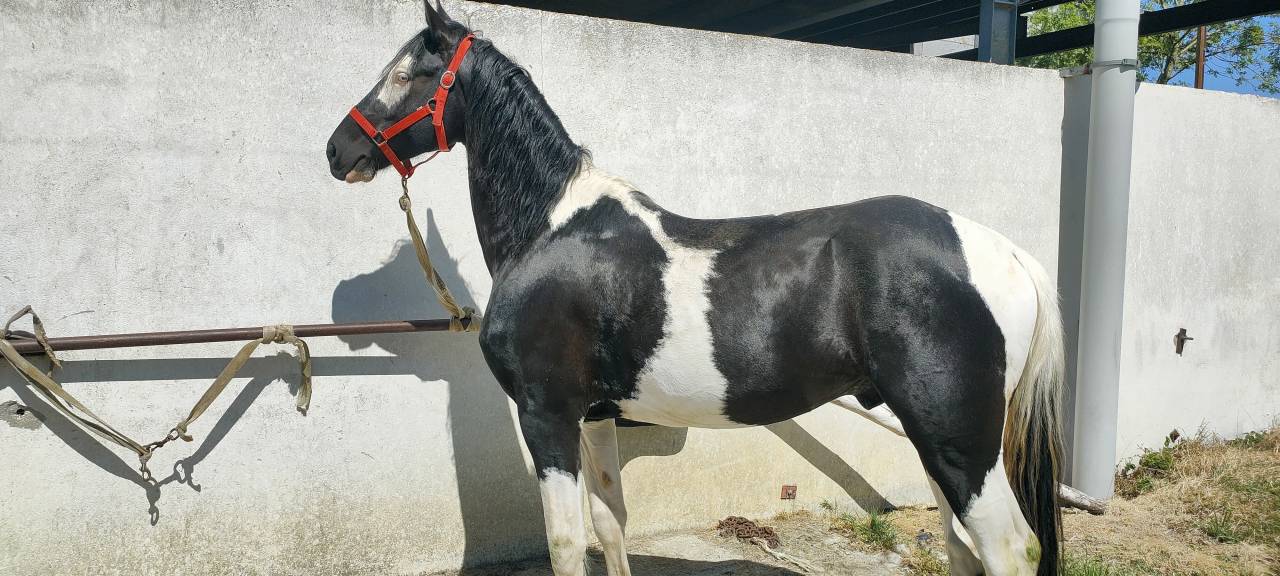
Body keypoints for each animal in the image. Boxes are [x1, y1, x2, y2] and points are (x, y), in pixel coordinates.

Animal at [325, 3, 1065, 575]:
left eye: (404, 74)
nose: (337, 151)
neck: (551, 228)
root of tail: (1007, 254)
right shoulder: (596, 418)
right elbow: (610, 525)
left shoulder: (547, 415)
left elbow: (565, 543)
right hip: (936, 437)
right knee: (963, 548)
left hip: (960, 439)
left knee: (1009, 548)